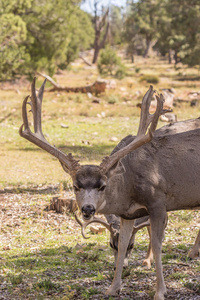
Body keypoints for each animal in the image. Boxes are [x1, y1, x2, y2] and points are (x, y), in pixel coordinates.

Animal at [19, 78, 200, 300]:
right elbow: (122, 246)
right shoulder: (128, 214)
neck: (128, 182)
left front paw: (160, 291)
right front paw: (113, 288)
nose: (88, 209)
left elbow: (157, 245)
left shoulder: (157, 202)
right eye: (75, 186)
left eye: (102, 185)